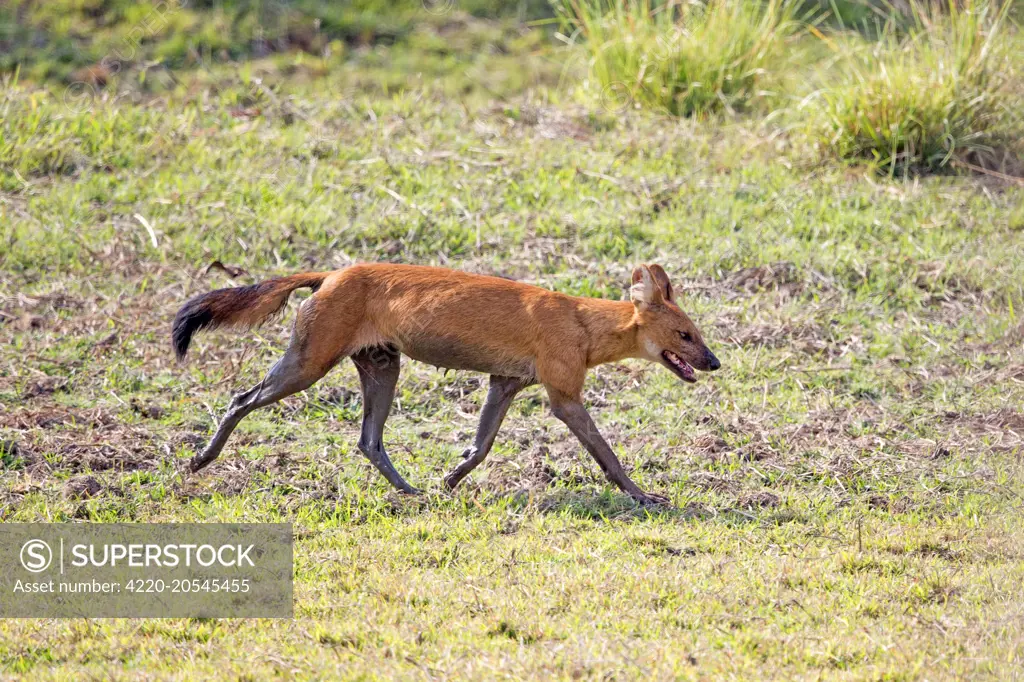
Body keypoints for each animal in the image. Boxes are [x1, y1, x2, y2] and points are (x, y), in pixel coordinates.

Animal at [174, 262, 720, 501]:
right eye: (685, 335)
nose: (714, 362)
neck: (584, 325)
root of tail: (330, 273)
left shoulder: (504, 383)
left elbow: (479, 447)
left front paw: (448, 481)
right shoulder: (563, 396)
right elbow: (607, 454)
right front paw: (644, 497)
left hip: (382, 367)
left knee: (368, 439)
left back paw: (412, 491)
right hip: (308, 365)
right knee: (240, 398)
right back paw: (198, 461)